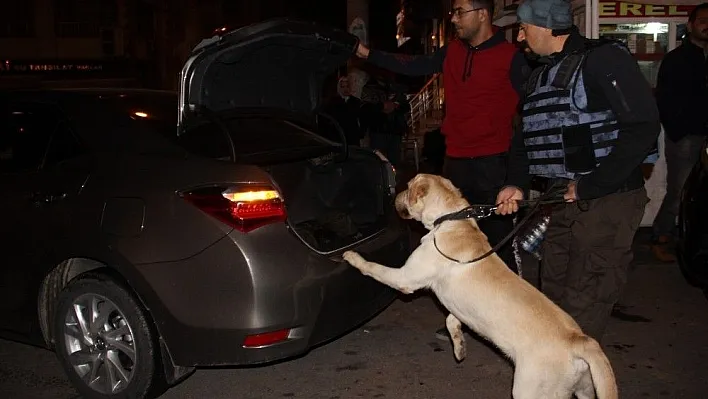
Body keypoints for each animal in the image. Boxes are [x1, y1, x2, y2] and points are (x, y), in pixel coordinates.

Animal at [346, 175, 616, 399]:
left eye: (408, 186)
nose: (394, 194)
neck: (449, 220)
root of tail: (580, 340)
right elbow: (451, 320)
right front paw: (459, 346)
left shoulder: (406, 279)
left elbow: (374, 268)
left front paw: (353, 257)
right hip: (585, 388)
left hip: (531, 391)